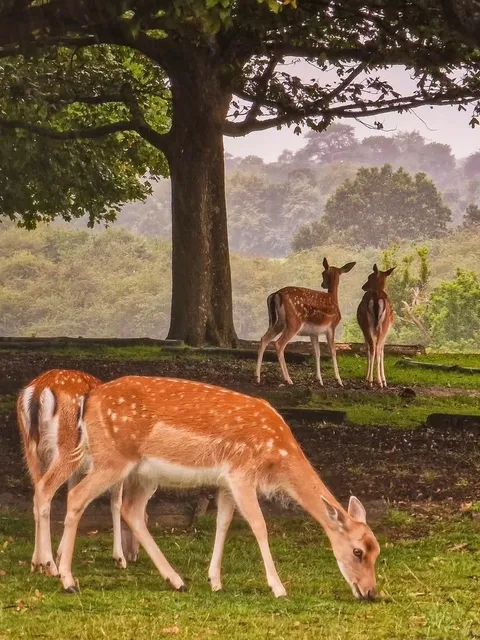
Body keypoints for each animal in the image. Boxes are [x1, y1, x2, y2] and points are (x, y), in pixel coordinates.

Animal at [17, 369, 139, 576]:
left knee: (36, 493)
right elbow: (116, 502)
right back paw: (50, 565)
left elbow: (72, 497)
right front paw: (119, 558)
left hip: (31, 449)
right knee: (45, 490)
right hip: (68, 446)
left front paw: (61, 553)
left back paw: (36, 562)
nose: (135, 554)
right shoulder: (116, 462)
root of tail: (40, 388)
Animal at [54, 375, 380, 600]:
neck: (276, 455)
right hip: (112, 458)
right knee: (76, 495)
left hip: (143, 472)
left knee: (131, 510)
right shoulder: (241, 472)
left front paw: (215, 582)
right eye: (358, 552)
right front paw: (278, 587)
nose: (371, 593)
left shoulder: (225, 482)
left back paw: (177, 580)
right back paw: (67, 580)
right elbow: (259, 525)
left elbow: (223, 523)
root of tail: (87, 400)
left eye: (377, 550)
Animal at [256, 258, 356, 386]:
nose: (322, 284)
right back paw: (288, 379)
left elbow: (317, 352)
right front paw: (339, 380)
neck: (333, 298)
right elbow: (333, 352)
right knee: (279, 343)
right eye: (323, 273)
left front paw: (320, 380)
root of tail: (276, 295)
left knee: (264, 339)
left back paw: (257, 376)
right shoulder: (331, 327)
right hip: (294, 322)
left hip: (278, 323)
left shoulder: (313, 333)